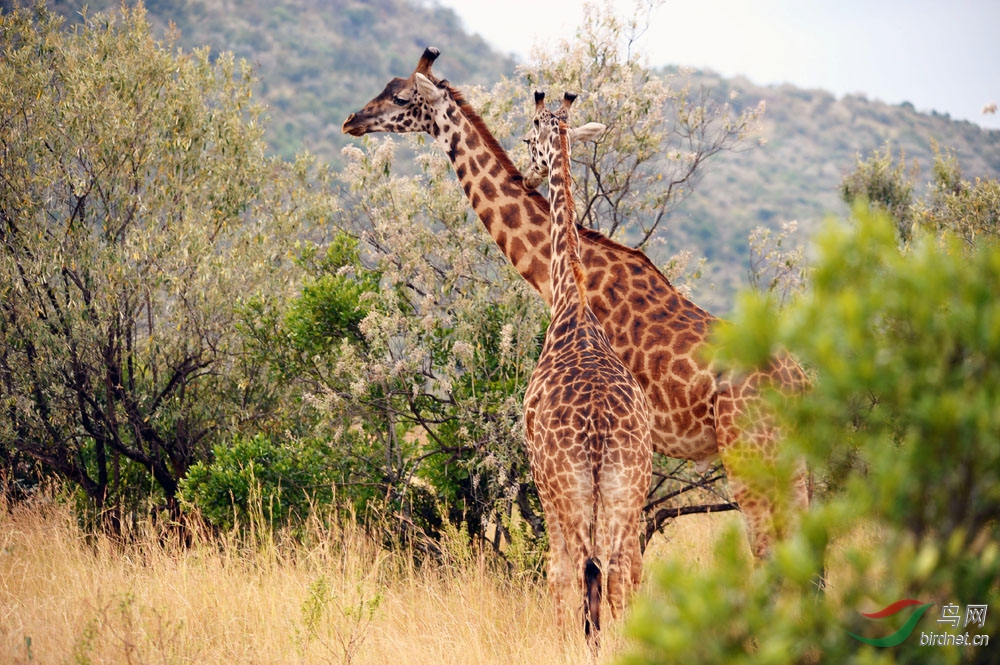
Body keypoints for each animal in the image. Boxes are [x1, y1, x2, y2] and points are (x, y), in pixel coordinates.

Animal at [344, 46, 812, 556]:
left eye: (400, 96)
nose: (351, 120)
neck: (564, 275)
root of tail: (804, 385)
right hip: (794, 466)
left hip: (749, 455)